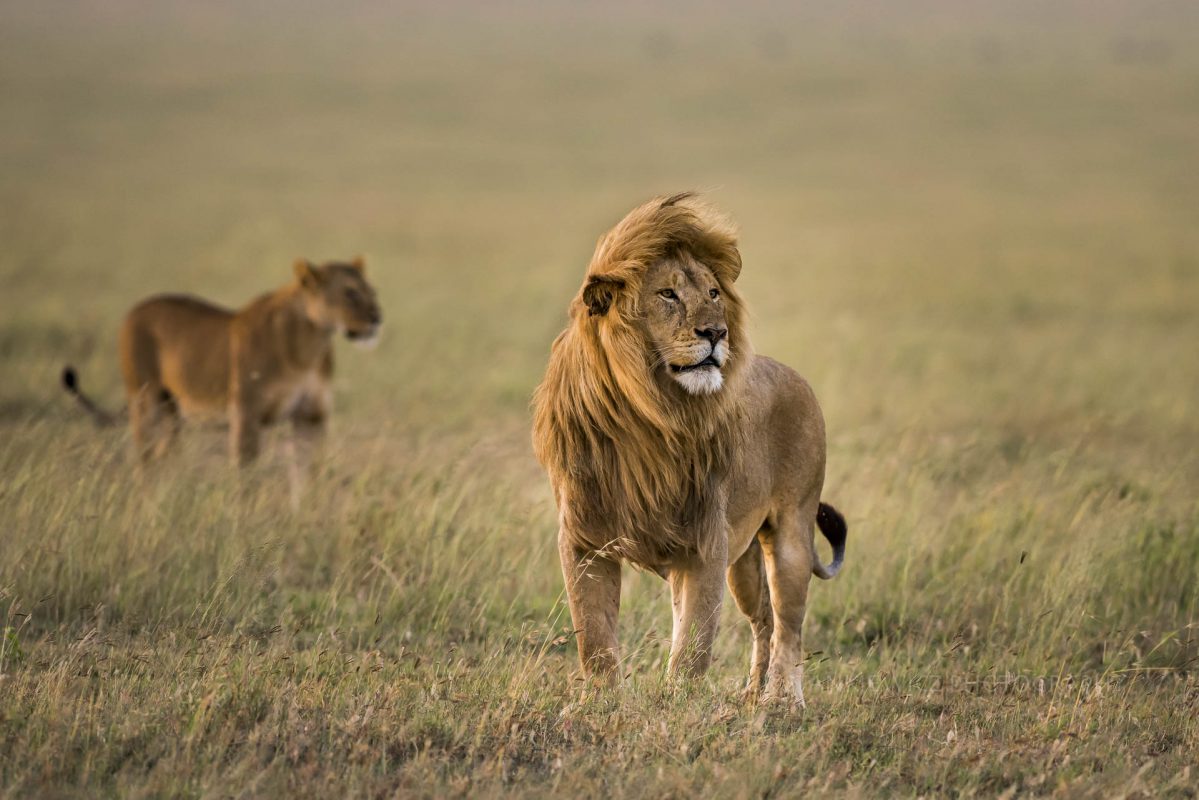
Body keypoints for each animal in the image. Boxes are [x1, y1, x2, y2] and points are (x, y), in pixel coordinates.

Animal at [62, 256, 378, 501]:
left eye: (372, 292)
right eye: (350, 293)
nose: (378, 317)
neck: (309, 346)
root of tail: (135, 309)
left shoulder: (311, 417)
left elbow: (307, 473)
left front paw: (305, 518)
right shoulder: (246, 413)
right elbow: (246, 473)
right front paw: (246, 519)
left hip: (172, 414)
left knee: (163, 455)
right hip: (145, 400)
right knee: (144, 459)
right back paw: (148, 501)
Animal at [529, 194, 848, 705]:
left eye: (714, 293)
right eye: (667, 295)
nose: (716, 333)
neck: (649, 415)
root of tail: (795, 376)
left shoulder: (704, 543)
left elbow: (693, 643)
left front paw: (677, 706)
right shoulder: (585, 539)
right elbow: (594, 636)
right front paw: (601, 702)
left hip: (792, 533)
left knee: (788, 626)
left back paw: (783, 699)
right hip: (744, 562)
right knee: (762, 618)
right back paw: (751, 696)